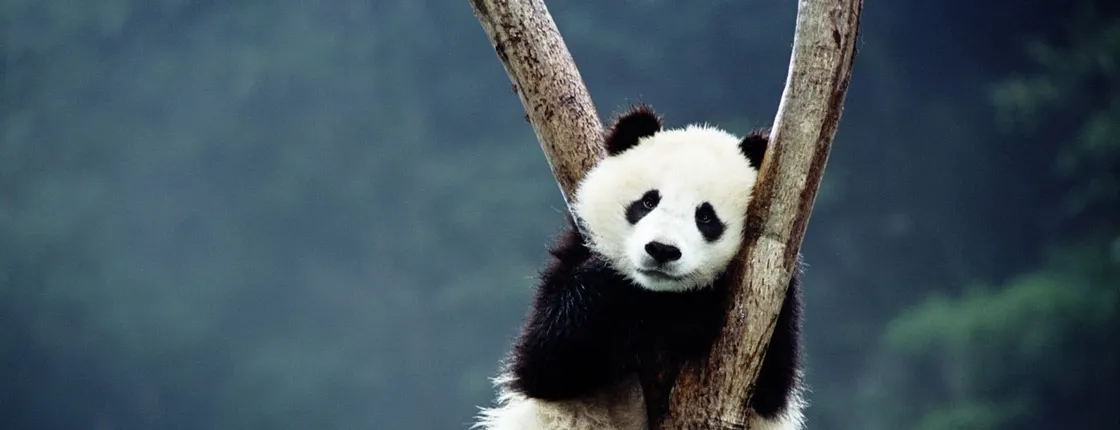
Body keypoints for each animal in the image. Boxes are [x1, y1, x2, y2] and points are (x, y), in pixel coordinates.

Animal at [473, 105, 806, 430]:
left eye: (706, 217)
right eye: (648, 202)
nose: (662, 250)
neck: (656, 295)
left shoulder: (767, 304)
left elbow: (770, 386)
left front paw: (695, 313)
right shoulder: (575, 249)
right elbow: (545, 361)